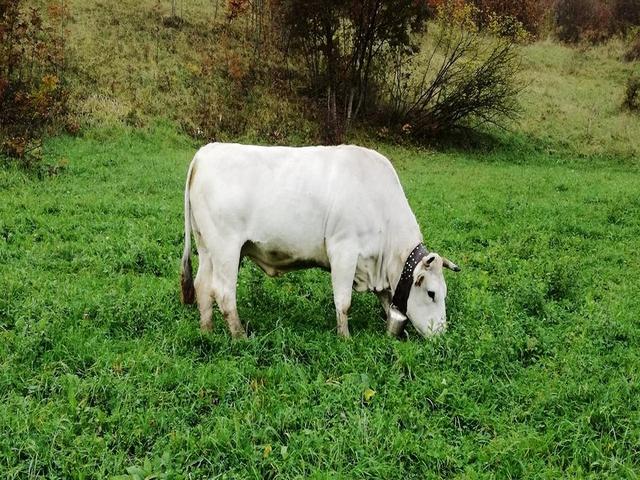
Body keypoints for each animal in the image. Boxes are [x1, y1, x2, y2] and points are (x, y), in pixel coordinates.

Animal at [180, 143, 460, 339]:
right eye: (432, 293)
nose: (441, 335)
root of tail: (207, 151)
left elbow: (385, 299)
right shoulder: (344, 250)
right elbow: (343, 302)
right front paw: (345, 338)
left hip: (207, 247)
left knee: (203, 286)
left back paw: (207, 331)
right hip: (226, 247)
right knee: (224, 293)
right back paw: (239, 337)